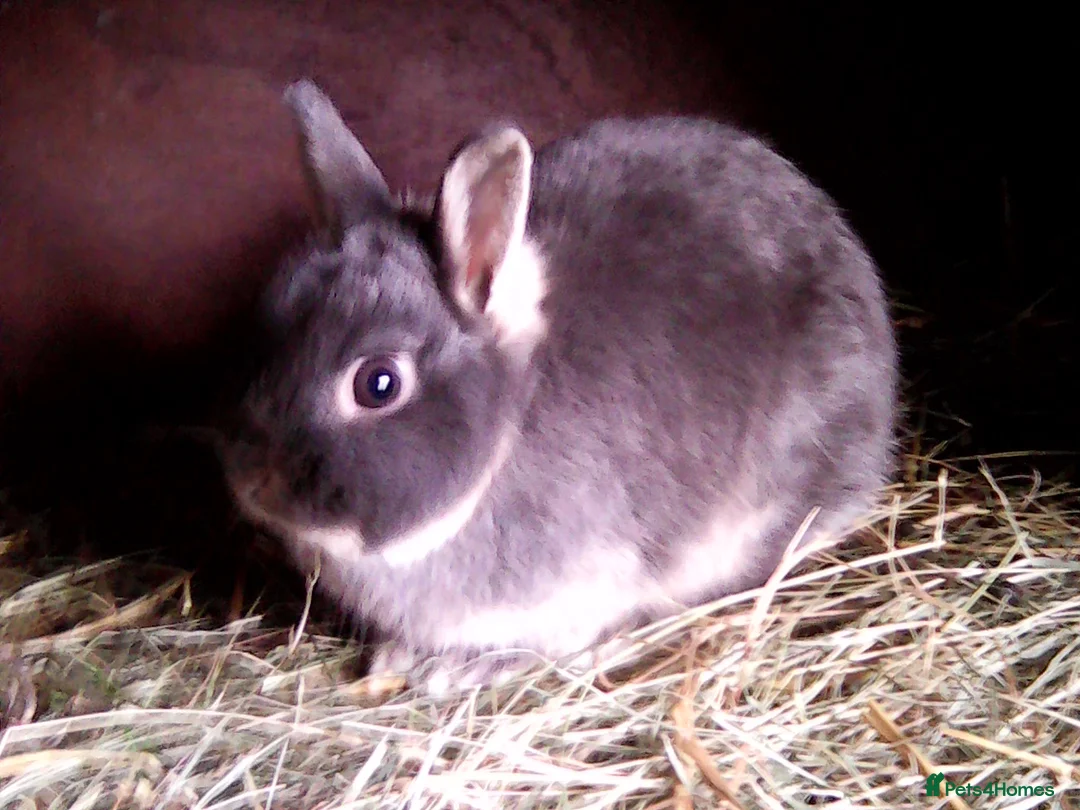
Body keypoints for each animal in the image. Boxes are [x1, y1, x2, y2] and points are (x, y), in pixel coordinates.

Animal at [220, 79, 898, 696]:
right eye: (272, 316)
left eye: (378, 383)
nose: (250, 480)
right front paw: (399, 656)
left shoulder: (596, 578)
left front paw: (461, 669)